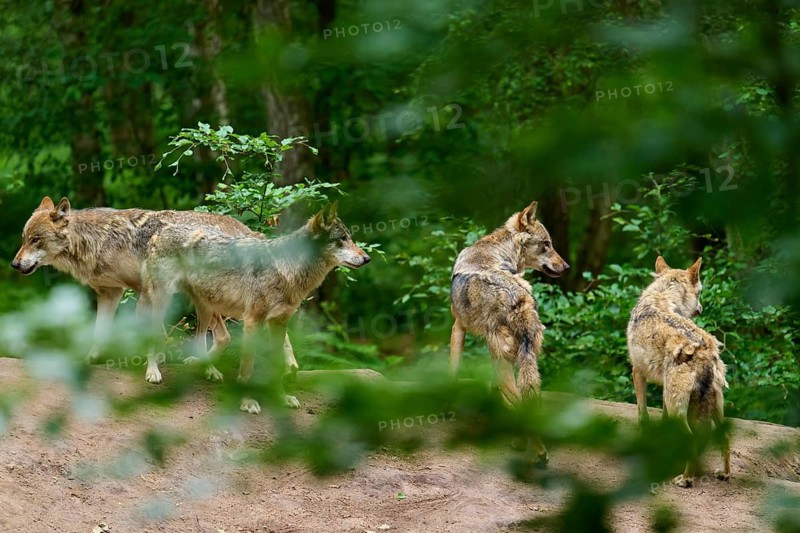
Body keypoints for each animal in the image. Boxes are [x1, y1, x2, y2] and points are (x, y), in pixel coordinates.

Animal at [11, 196, 298, 384]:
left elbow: (153, 334)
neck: (97, 239)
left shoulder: (143, 291)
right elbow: (100, 332)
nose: (14, 264)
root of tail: (245, 228)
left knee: (227, 336)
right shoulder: (111, 293)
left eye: (35, 240)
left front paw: (153, 369)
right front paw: (91, 359)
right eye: (23, 239)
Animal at [140, 203, 371, 412]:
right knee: (153, 334)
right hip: (164, 302)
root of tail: (163, 229)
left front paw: (281, 397)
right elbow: (248, 366)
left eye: (350, 238)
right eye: (342, 239)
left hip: (205, 308)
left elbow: (279, 365)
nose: (367, 258)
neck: (286, 269)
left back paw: (209, 370)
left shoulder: (279, 323)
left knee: (200, 342)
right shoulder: (253, 321)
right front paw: (247, 402)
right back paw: (153, 372)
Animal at [449, 201, 570, 467]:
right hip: (526, 360)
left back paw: (536, 452)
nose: (567, 267)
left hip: (500, 359)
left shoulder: (458, 326)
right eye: (546, 244)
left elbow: (452, 368)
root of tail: (520, 298)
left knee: (519, 404)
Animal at [627, 256, 730, 488]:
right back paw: (724, 474)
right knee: (725, 436)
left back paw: (686, 479)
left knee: (692, 439)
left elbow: (643, 414)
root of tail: (705, 352)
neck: (662, 297)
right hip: (712, 405)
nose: (701, 308)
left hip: (679, 406)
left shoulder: (638, 372)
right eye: (700, 293)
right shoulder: (664, 390)